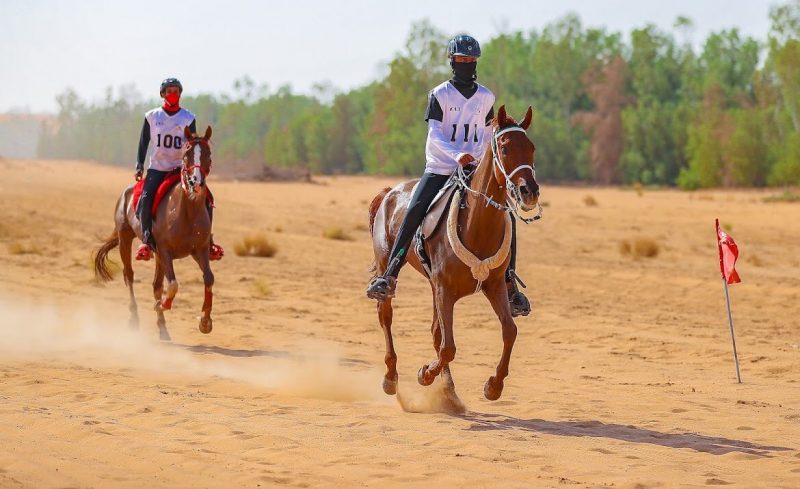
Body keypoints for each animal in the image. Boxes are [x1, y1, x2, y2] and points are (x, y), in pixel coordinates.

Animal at [94, 126, 216, 340]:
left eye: (208, 155)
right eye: (186, 155)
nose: (195, 182)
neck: (187, 211)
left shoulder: (199, 250)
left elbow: (208, 279)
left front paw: (205, 321)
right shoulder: (165, 251)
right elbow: (173, 284)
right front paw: (162, 305)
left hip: (157, 255)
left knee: (156, 285)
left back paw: (163, 328)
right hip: (125, 239)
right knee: (129, 275)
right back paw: (135, 319)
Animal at [368, 106, 536, 400]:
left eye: (532, 148)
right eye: (504, 148)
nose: (530, 192)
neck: (475, 226)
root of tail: (390, 192)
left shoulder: (493, 286)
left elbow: (509, 331)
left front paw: (494, 385)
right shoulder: (444, 288)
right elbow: (448, 347)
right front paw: (425, 374)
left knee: (436, 331)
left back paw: (448, 391)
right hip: (386, 266)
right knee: (385, 315)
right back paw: (391, 377)